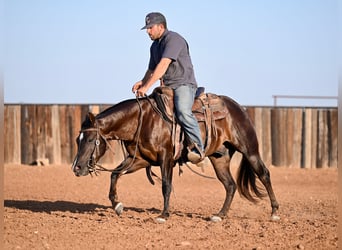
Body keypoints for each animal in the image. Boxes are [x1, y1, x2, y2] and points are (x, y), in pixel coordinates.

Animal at [71, 87, 280, 223]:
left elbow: (166, 185)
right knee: (230, 185)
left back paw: (275, 212)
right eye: (77, 140)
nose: (77, 168)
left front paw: (163, 215)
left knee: (264, 174)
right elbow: (115, 174)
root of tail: (237, 107)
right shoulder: (139, 159)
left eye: (90, 139)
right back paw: (219, 215)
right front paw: (117, 205)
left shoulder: (166, 158)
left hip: (250, 150)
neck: (142, 120)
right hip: (219, 158)